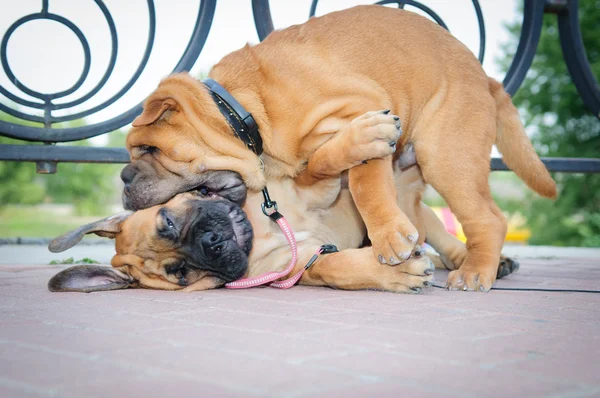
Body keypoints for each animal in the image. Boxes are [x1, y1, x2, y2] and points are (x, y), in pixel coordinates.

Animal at [120, 3, 552, 292]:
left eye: (148, 150)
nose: (123, 179)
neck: (247, 111)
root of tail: (485, 78)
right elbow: (324, 162)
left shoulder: (360, 105)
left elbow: (363, 180)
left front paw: (386, 234)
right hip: (416, 183)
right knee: (430, 221)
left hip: (448, 157)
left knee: (488, 219)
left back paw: (476, 271)